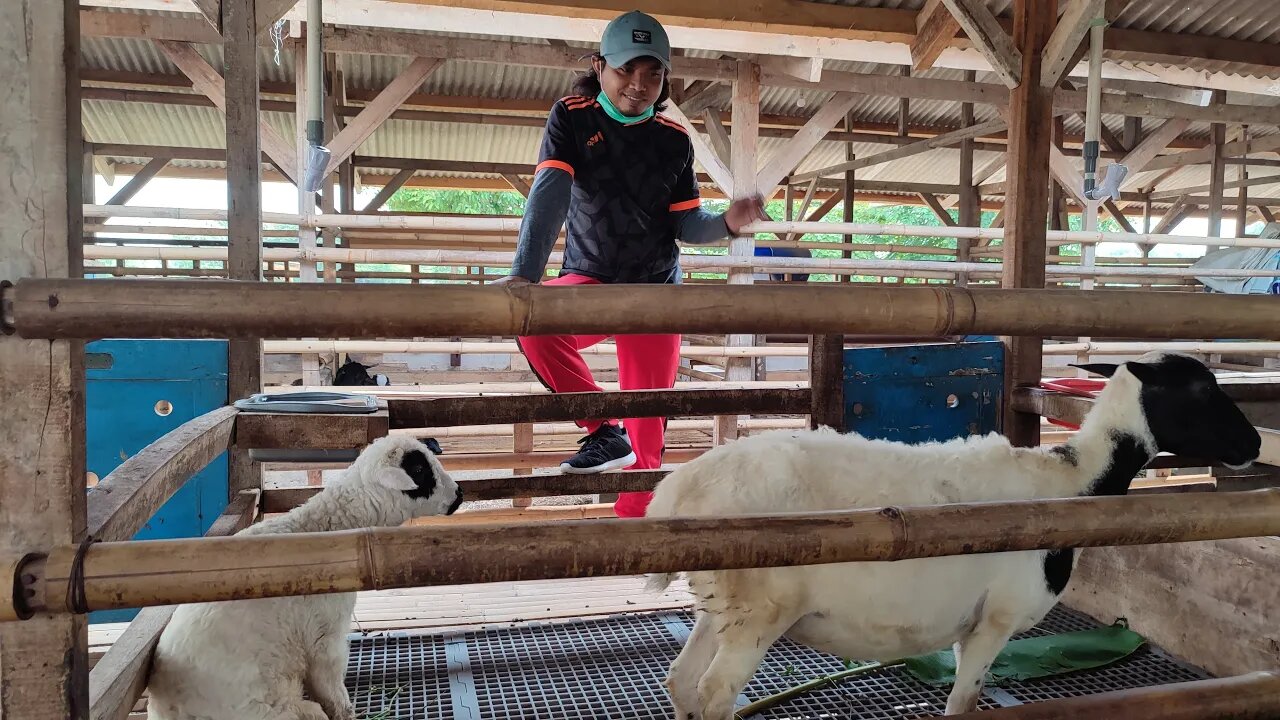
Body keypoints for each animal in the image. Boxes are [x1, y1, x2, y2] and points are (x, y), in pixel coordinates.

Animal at [147, 430, 463, 717]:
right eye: (419, 470)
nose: (459, 494)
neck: (325, 528)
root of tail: (162, 707)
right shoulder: (323, 637)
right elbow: (332, 690)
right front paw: (345, 711)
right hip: (268, 706)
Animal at [645, 353, 1264, 717]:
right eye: (1200, 389)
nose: (1256, 443)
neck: (1073, 483)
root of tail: (678, 489)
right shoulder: (996, 620)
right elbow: (962, 704)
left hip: (720, 603)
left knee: (682, 680)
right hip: (760, 609)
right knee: (714, 693)